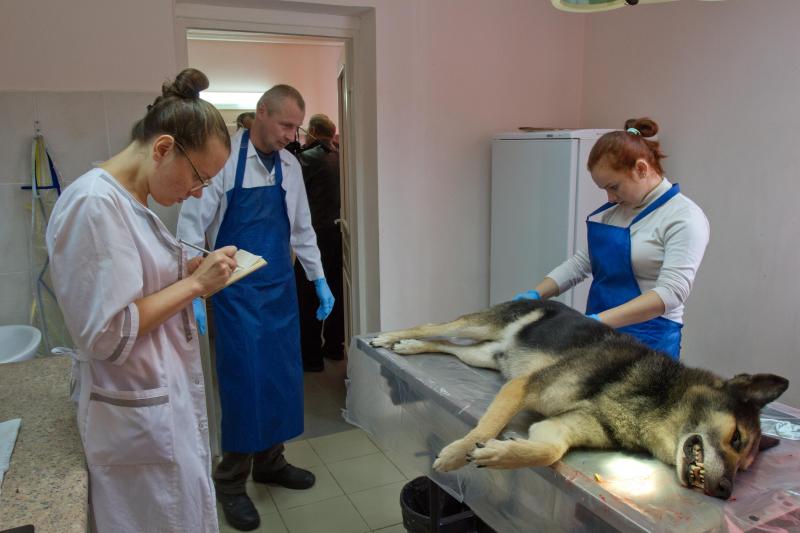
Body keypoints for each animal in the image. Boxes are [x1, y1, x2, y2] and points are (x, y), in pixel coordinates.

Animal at [372, 300, 792, 498]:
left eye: (746, 468)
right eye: (736, 439)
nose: (726, 492)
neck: (654, 397)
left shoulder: (552, 427)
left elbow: (547, 452)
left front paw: (499, 453)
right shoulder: (523, 387)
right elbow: (484, 426)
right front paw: (457, 453)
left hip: (485, 356)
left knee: (446, 346)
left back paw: (409, 347)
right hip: (480, 327)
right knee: (434, 326)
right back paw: (391, 336)